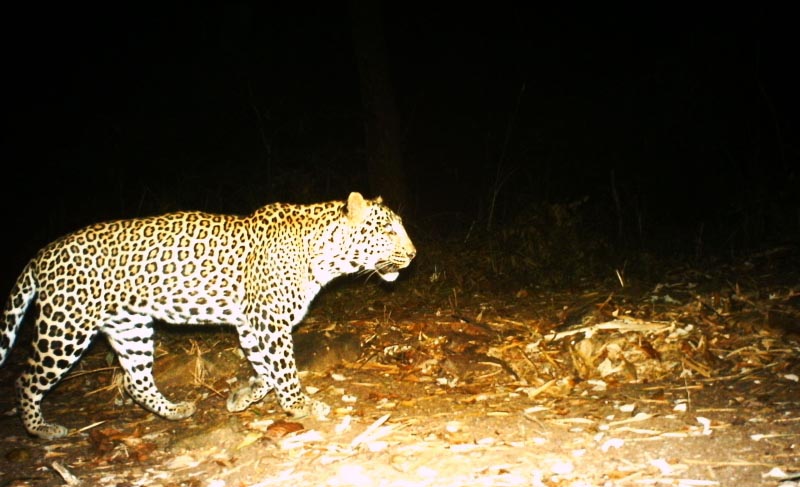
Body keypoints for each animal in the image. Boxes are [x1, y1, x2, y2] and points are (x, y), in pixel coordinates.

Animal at [0, 192, 415, 439]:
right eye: (387, 230)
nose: (413, 254)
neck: (324, 254)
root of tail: (41, 254)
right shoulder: (268, 321)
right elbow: (283, 368)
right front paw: (300, 405)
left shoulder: (251, 324)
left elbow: (267, 371)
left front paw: (241, 397)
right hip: (65, 328)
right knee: (26, 379)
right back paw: (41, 429)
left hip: (130, 326)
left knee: (136, 381)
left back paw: (174, 411)